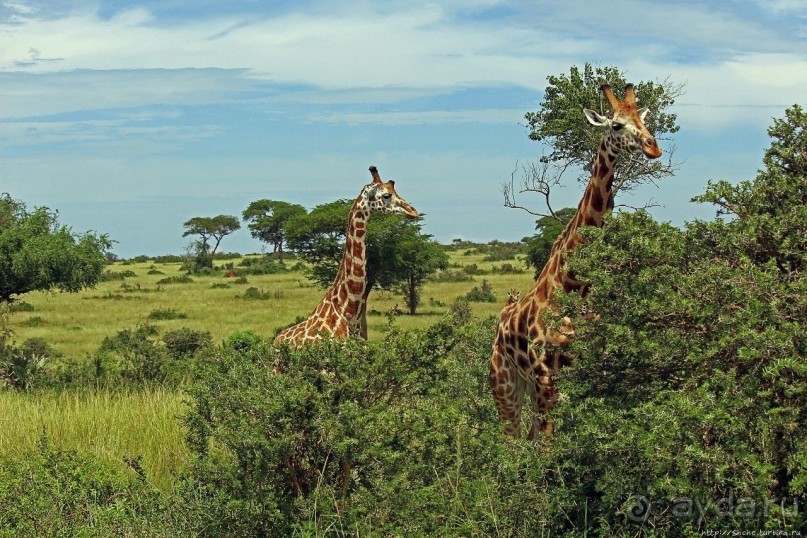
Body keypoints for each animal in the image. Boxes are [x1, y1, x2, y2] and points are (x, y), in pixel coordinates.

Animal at [492, 82, 664, 436]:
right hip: (505, 385)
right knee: (512, 441)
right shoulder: (546, 377)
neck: (574, 285)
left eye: (642, 120)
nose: (653, 148)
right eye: (617, 125)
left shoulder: (590, 374)